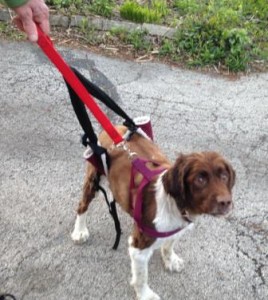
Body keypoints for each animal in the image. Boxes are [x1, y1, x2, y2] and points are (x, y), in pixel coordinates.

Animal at [70, 125, 234, 300]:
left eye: (224, 176)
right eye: (200, 179)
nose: (226, 202)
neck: (175, 205)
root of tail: (116, 127)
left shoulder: (176, 228)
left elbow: (169, 245)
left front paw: (171, 260)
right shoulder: (139, 246)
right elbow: (141, 277)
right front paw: (145, 295)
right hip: (93, 178)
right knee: (82, 206)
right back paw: (79, 231)